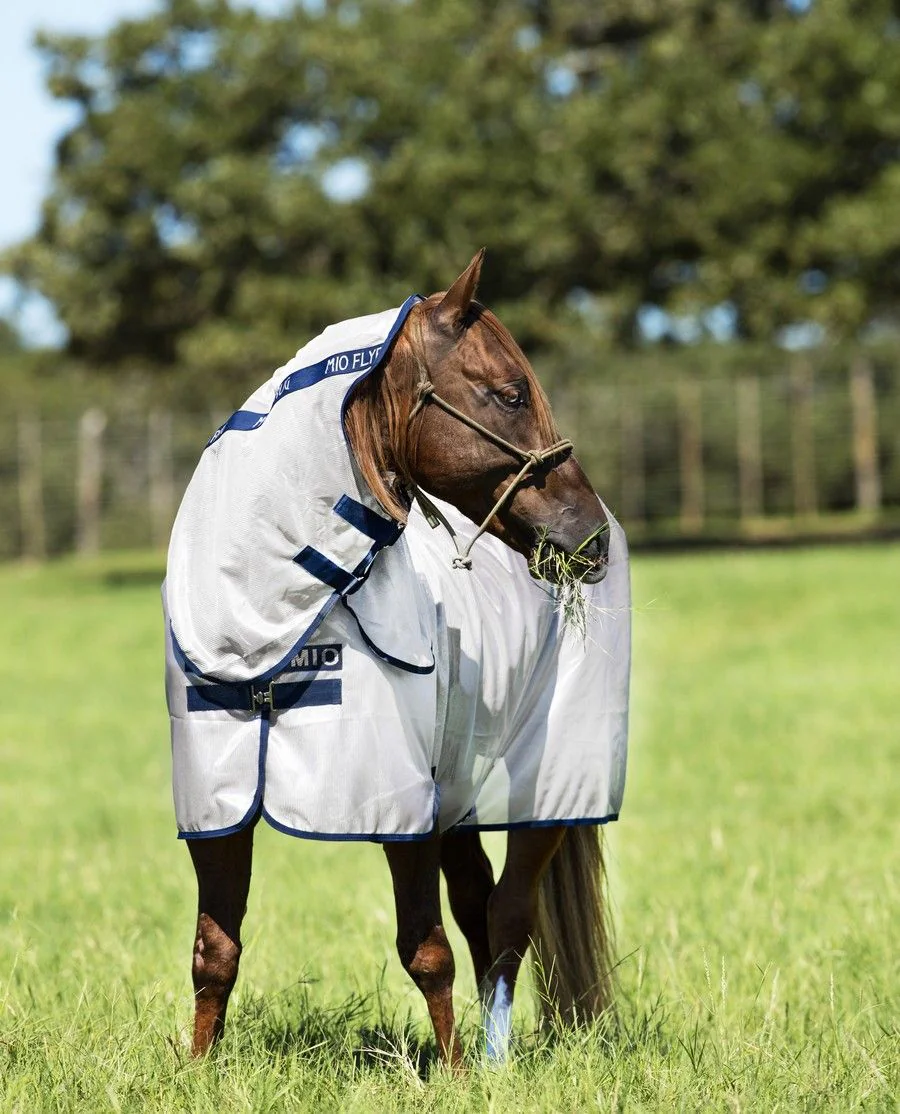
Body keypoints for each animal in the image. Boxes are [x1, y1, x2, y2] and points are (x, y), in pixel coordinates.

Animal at [168, 250, 628, 1067]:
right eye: (509, 393)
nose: (589, 535)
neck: (265, 631)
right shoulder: (216, 805)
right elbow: (214, 951)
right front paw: (198, 1071)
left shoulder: (397, 806)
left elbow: (425, 949)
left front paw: (454, 1077)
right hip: (460, 797)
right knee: (482, 905)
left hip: (551, 790)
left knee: (511, 915)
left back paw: (494, 1061)